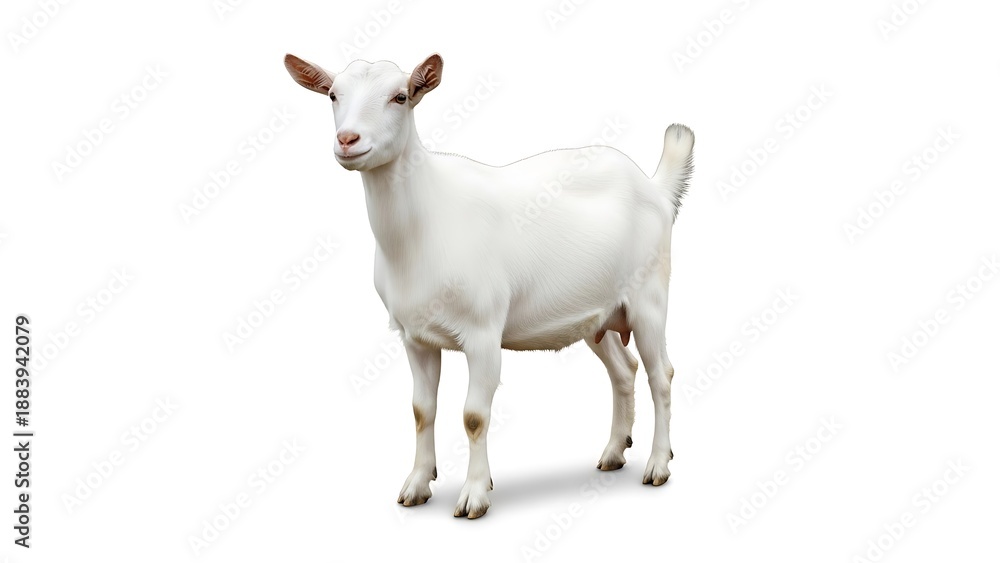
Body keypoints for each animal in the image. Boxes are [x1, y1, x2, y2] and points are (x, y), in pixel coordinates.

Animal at [284, 53, 694, 519]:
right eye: (333, 95)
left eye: (401, 96)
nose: (348, 140)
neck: (423, 223)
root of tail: (654, 187)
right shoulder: (414, 337)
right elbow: (421, 411)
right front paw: (416, 485)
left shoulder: (483, 332)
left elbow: (474, 416)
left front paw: (475, 495)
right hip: (599, 314)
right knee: (623, 370)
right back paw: (613, 452)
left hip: (649, 299)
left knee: (661, 374)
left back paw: (658, 464)